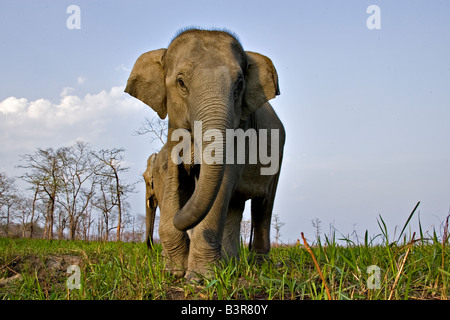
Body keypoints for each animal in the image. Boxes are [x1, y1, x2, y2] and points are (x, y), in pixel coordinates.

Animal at [125, 29, 284, 280]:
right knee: (235, 206)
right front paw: (175, 272)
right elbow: (174, 179)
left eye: (239, 85)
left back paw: (258, 266)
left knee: (263, 205)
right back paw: (231, 264)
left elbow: (222, 183)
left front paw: (200, 278)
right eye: (181, 82)